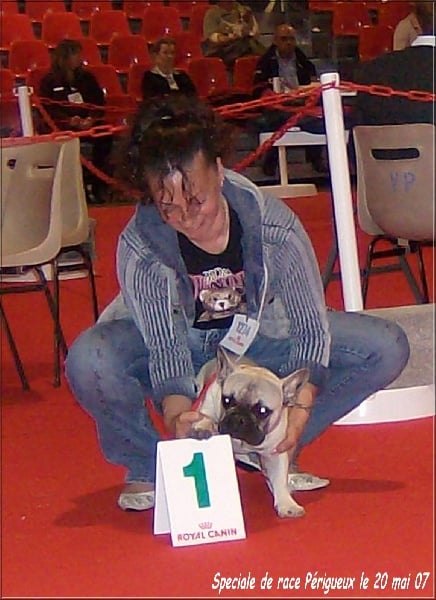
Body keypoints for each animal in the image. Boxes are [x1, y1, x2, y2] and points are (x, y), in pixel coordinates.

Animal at [190, 346, 310, 518]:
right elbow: (207, 416)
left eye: (262, 411)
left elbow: (280, 478)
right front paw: (204, 426)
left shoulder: (275, 454)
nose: (239, 418)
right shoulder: (210, 401)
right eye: (227, 401)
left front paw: (287, 503)